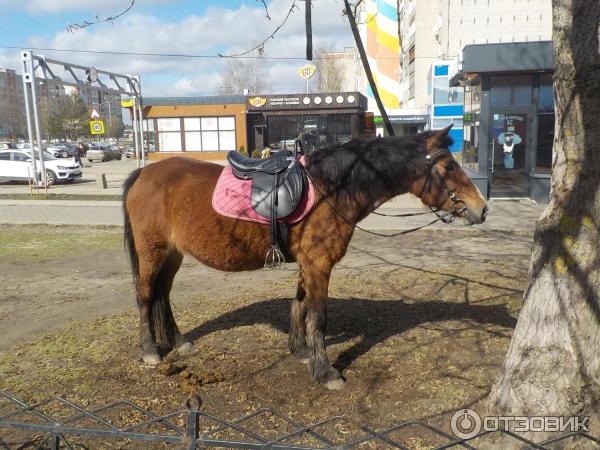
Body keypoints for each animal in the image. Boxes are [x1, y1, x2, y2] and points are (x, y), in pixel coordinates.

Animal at [122, 125, 488, 388]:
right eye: (448, 166)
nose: (482, 208)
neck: (333, 188)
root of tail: (143, 174)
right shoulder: (319, 265)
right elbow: (319, 317)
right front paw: (326, 372)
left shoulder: (308, 264)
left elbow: (300, 305)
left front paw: (300, 351)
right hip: (152, 250)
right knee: (145, 296)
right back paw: (150, 351)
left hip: (173, 253)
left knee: (163, 294)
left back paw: (178, 342)